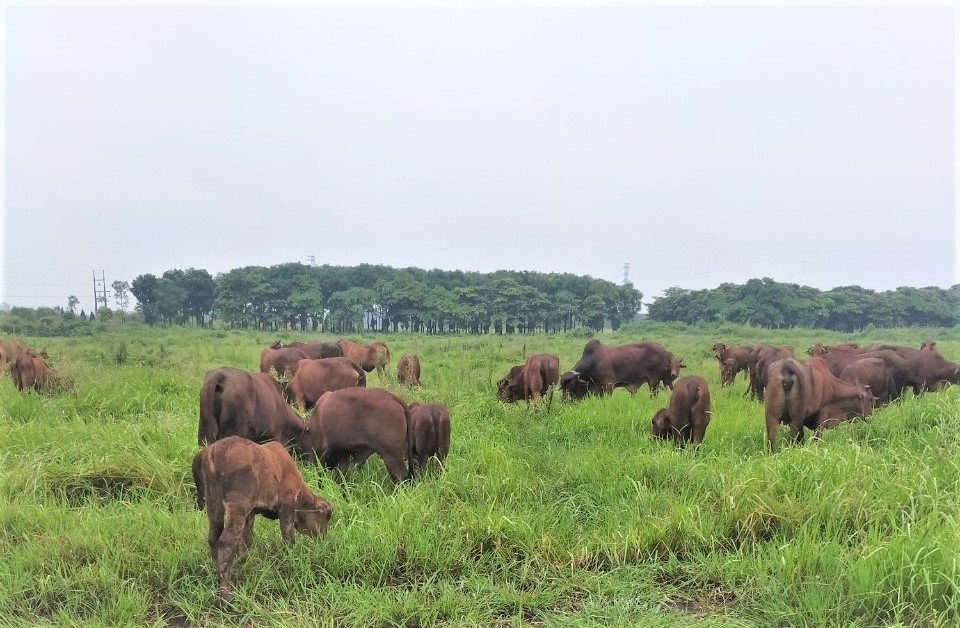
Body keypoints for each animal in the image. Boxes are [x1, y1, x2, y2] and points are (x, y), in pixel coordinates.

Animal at [191, 434, 334, 600]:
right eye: (327, 516)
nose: (324, 537)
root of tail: (214, 451)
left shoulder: (251, 512)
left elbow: (247, 540)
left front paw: (243, 562)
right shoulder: (286, 508)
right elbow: (288, 538)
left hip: (214, 504)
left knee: (213, 537)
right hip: (237, 507)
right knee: (227, 541)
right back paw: (225, 593)